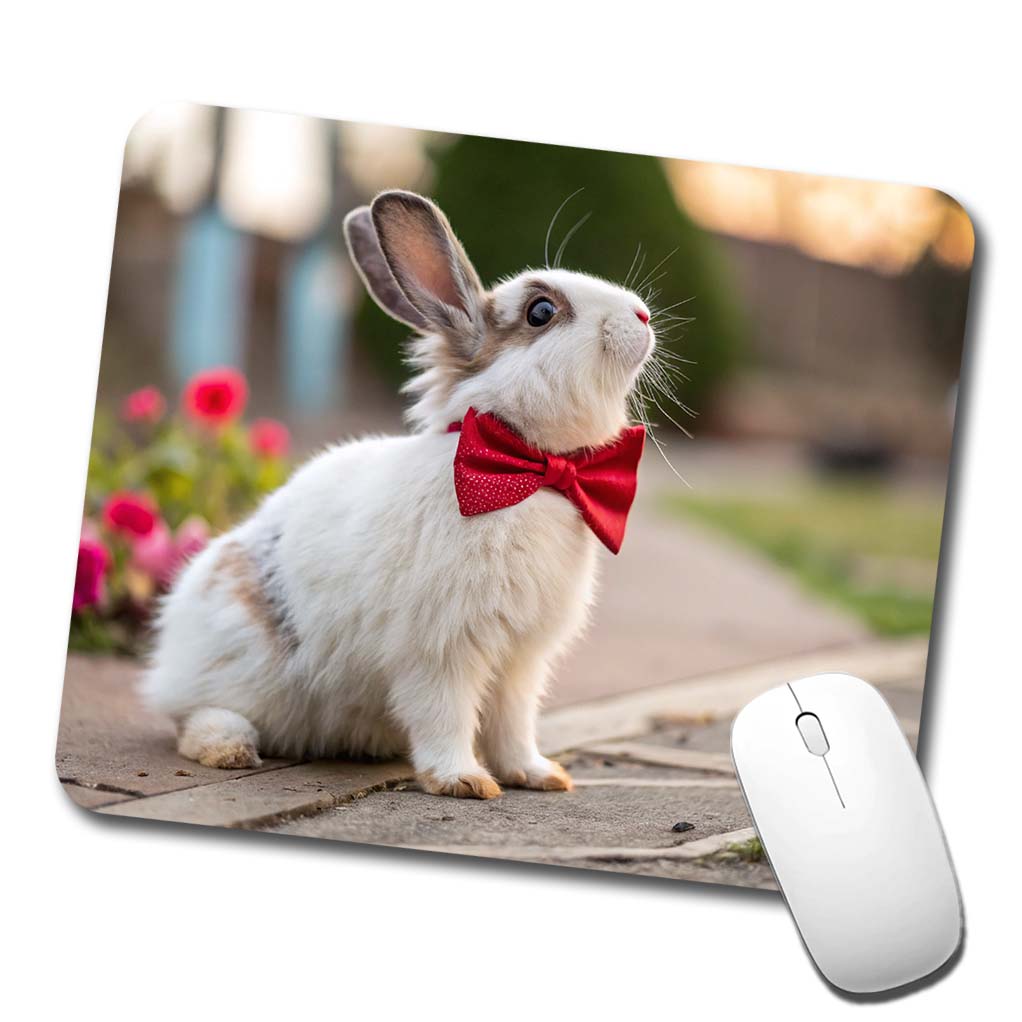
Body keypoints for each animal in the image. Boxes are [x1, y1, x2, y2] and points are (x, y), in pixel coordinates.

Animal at [140, 189, 656, 799]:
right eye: (541, 312)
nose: (644, 315)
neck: (530, 472)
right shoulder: (440, 650)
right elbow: (445, 715)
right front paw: (464, 781)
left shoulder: (520, 659)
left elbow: (512, 722)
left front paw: (538, 775)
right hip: (235, 665)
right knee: (193, 716)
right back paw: (230, 748)